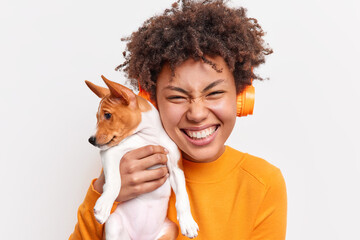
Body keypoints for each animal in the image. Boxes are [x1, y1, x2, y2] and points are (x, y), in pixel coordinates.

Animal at [84, 75, 198, 240]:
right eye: (97, 117)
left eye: (107, 115)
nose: (91, 140)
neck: (150, 138)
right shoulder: (110, 153)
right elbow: (115, 181)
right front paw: (104, 205)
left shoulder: (176, 167)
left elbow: (183, 196)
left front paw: (188, 222)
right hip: (114, 224)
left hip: (170, 230)